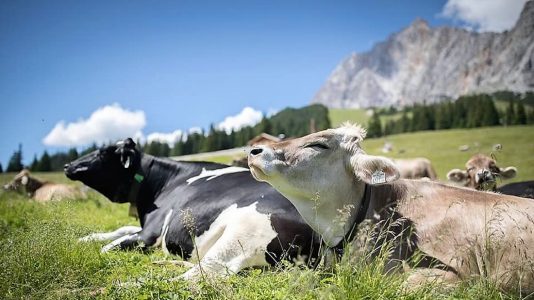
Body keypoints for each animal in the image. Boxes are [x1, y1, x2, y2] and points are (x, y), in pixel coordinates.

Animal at [64, 138, 320, 278]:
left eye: (101, 152)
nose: (68, 165)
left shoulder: (150, 233)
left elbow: (108, 248)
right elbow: (120, 230)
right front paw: (85, 238)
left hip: (242, 236)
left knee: (200, 274)